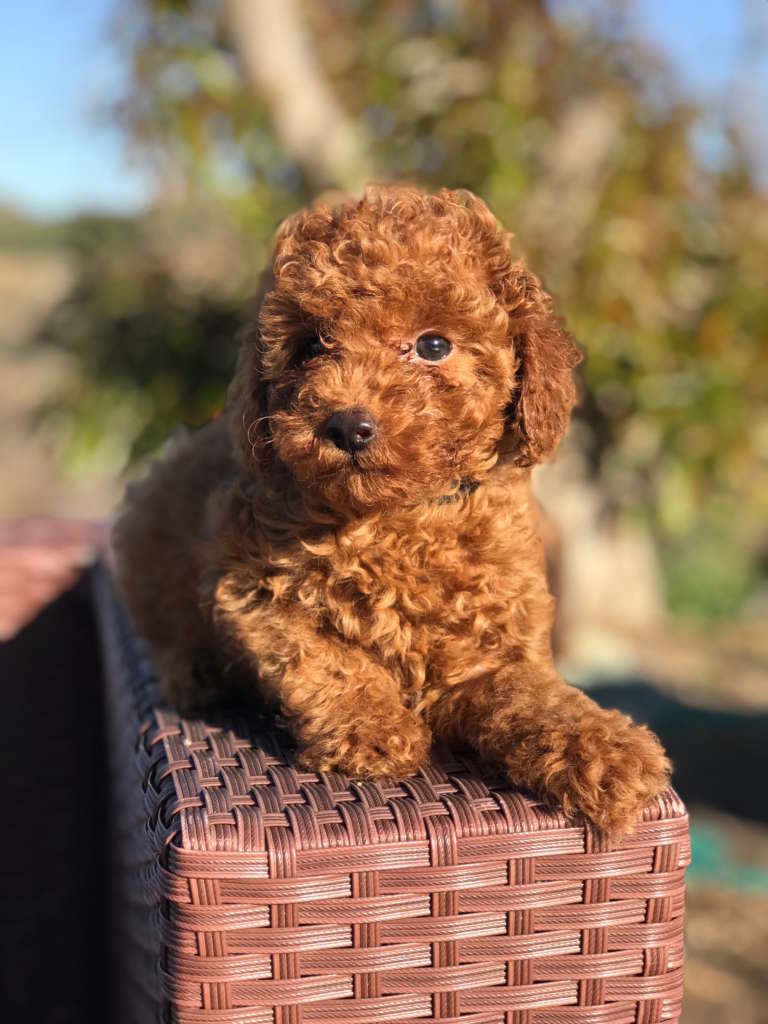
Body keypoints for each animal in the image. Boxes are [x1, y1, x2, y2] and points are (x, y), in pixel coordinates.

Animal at [111, 184, 671, 839]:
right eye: (311, 345)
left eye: (433, 345)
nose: (347, 426)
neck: (397, 519)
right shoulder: (249, 590)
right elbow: (324, 659)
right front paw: (374, 729)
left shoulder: (491, 648)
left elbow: (530, 694)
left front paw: (606, 750)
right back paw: (194, 673)